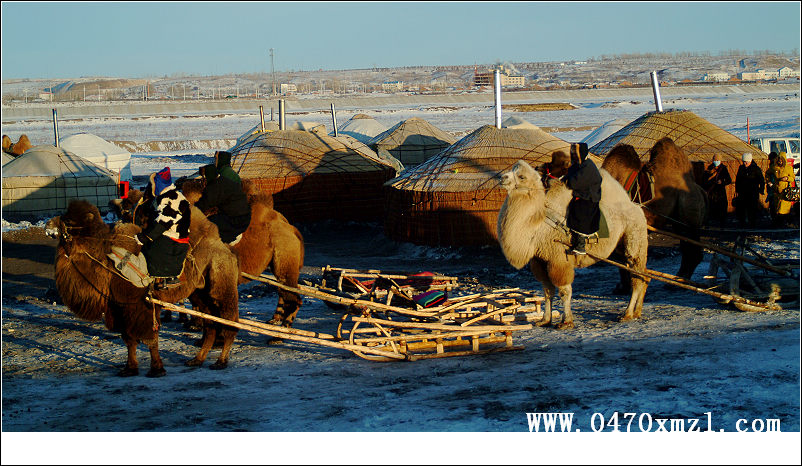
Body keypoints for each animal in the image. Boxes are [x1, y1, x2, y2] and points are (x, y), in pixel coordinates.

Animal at [46, 199, 241, 377]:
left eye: (68, 221)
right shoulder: (120, 307)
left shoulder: (141, 304)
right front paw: (129, 368)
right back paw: (197, 359)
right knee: (211, 326)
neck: (106, 261)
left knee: (229, 322)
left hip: (221, 285)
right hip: (200, 293)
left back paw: (221, 361)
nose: (48, 225)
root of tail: (224, 247)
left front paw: (156, 369)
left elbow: (149, 339)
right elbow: (129, 340)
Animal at [497, 160, 650, 328]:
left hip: (635, 240)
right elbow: (547, 291)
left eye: (521, 176)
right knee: (643, 276)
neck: (538, 226)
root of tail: (638, 208)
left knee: (637, 277)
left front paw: (566, 321)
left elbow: (564, 291)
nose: (502, 177)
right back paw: (637, 312)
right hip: (619, 248)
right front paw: (545, 320)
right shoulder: (540, 261)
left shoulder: (559, 259)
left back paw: (627, 314)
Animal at [601, 139, 708, 291]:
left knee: (691, 249)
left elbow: (622, 255)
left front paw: (624, 287)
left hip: (687, 214)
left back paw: (679, 282)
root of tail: (699, 189)